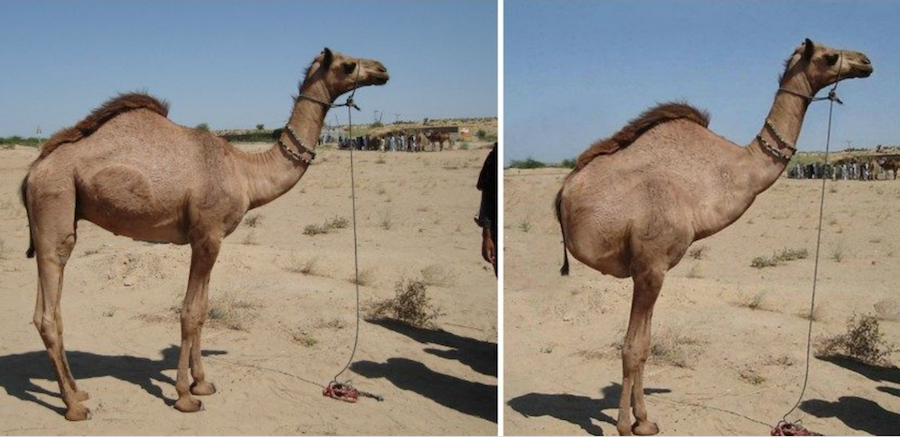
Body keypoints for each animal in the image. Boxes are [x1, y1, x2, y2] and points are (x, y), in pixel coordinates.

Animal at [18, 47, 386, 418]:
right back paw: (73, 407)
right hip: (55, 203)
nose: (382, 70)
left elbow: (204, 310)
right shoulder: (207, 235)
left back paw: (78, 392)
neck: (245, 172)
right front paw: (185, 396)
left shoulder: (212, 238)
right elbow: (189, 312)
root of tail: (33, 171)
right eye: (348, 65)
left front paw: (203, 383)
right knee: (48, 309)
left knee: (50, 312)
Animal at [556, 39, 872, 434]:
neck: (720, 174)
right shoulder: (650, 267)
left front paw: (645, 421)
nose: (866, 61)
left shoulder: (652, 271)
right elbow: (633, 348)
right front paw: (628, 425)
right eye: (830, 56)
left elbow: (644, 345)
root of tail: (564, 192)